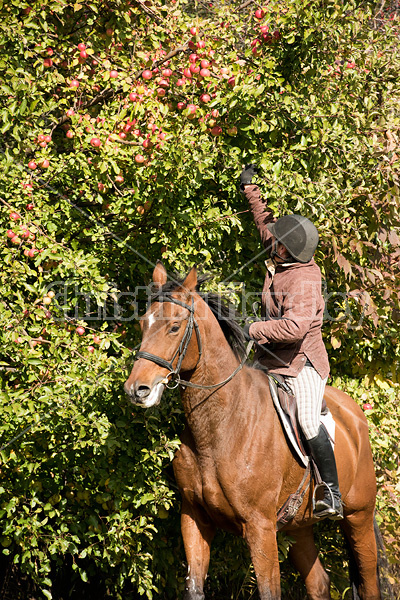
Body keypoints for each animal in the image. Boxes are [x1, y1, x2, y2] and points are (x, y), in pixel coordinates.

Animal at [125, 262, 382, 600]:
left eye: (175, 327)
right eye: (144, 324)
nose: (136, 390)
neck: (220, 426)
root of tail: (356, 416)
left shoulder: (259, 526)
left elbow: (269, 590)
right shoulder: (194, 518)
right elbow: (194, 587)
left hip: (359, 518)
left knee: (369, 583)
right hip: (299, 525)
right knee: (318, 582)